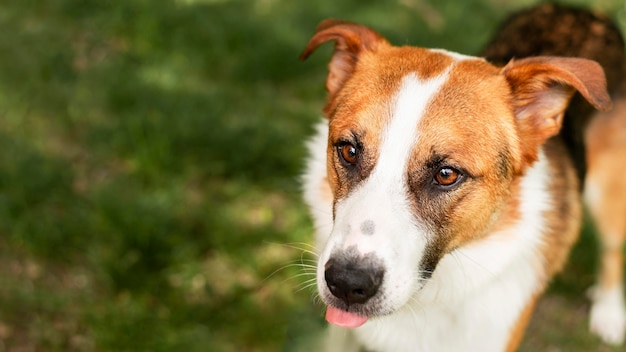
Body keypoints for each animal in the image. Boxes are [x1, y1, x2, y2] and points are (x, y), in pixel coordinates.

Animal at [298, 3, 624, 352]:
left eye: (446, 174)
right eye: (348, 151)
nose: (346, 283)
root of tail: (580, 11)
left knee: (612, 249)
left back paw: (609, 312)